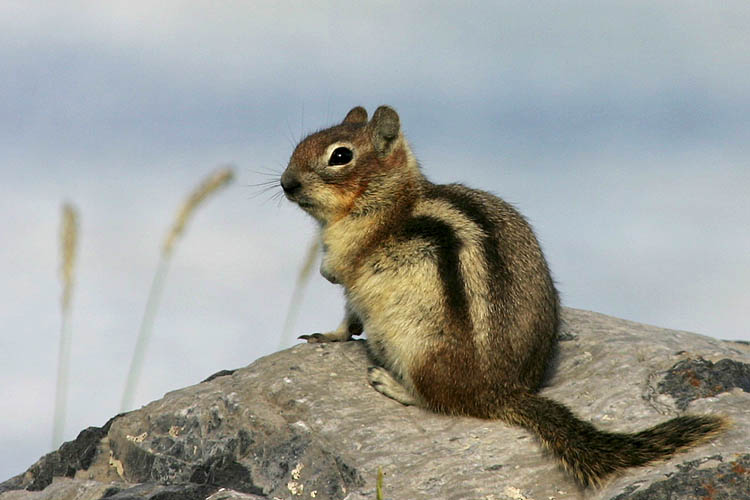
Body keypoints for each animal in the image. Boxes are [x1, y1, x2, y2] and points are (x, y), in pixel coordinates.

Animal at [279, 105, 726, 487]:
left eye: (340, 156)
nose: (286, 184)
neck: (387, 198)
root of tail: (502, 393)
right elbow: (347, 317)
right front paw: (326, 335)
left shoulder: (350, 264)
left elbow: (342, 294)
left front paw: (328, 326)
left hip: (417, 351)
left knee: (438, 402)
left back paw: (389, 382)